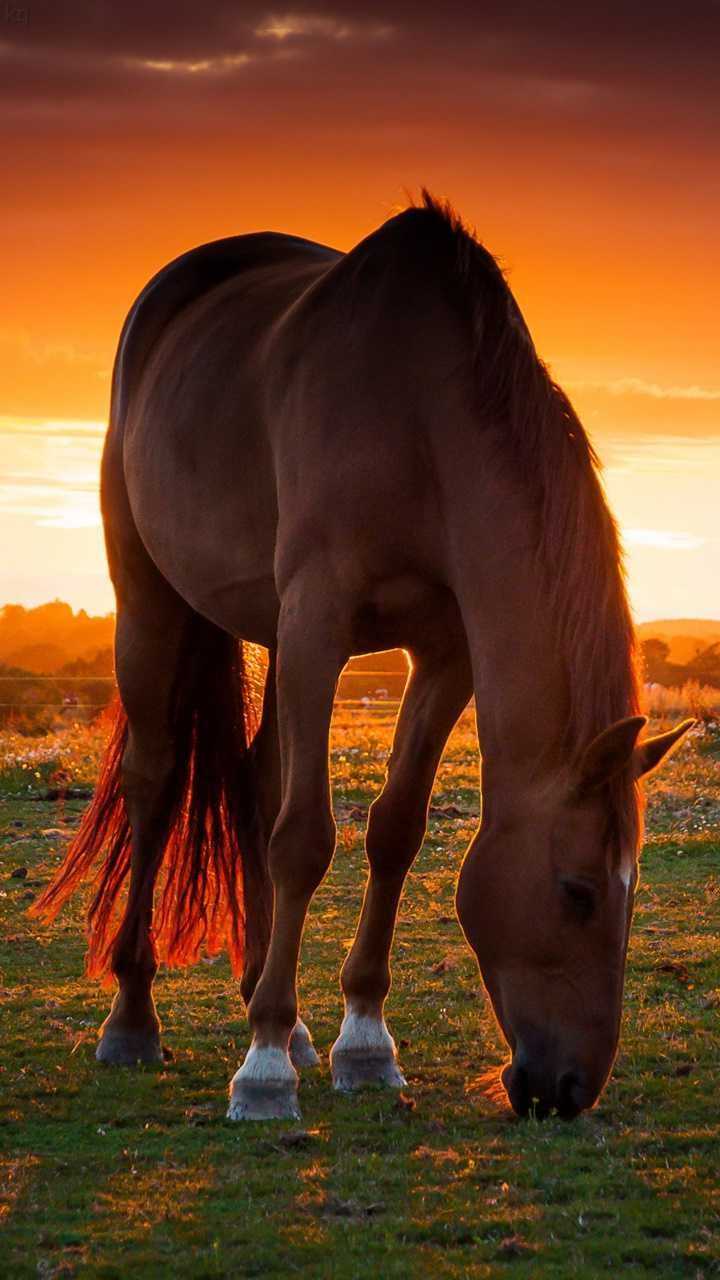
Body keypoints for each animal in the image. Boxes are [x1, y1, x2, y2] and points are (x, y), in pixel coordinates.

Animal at [32, 192, 691, 1121]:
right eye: (579, 892)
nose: (568, 1089)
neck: (421, 417)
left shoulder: (444, 651)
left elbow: (395, 829)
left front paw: (362, 1042)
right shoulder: (320, 620)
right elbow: (305, 836)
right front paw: (264, 1068)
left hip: (271, 634)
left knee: (260, 776)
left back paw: (284, 1012)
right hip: (153, 601)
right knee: (155, 785)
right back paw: (135, 1020)